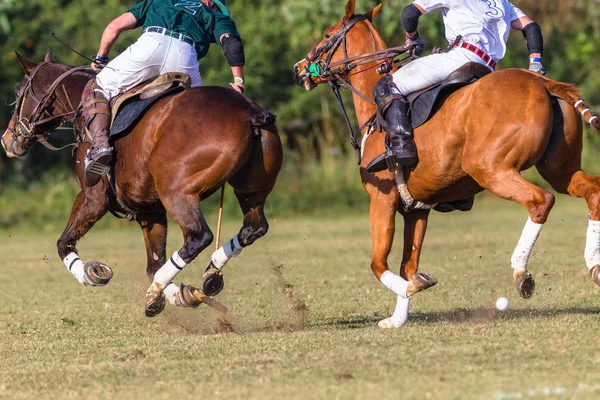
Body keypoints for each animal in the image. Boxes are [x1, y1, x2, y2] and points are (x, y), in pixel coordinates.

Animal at [2, 51, 284, 318]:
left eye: (17, 92)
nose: (7, 140)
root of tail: (251, 114)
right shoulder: (150, 210)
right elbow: (154, 262)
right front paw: (175, 294)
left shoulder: (93, 197)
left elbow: (64, 243)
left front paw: (91, 274)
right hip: (251, 189)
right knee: (254, 227)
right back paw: (210, 275)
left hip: (175, 192)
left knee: (198, 236)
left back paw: (158, 291)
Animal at [292, 0, 600, 326]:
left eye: (327, 35)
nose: (299, 68)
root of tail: (543, 83)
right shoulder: (417, 208)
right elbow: (407, 264)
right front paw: (397, 319)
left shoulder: (382, 199)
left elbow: (379, 263)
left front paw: (413, 289)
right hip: (559, 168)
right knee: (592, 190)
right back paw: (594, 266)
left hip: (490, 169)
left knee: (541, 201)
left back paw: (521, 273)